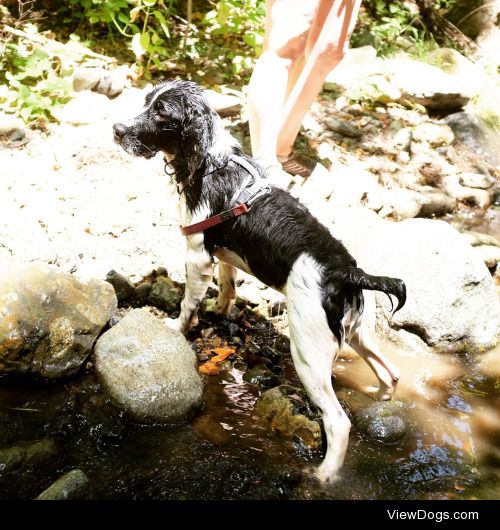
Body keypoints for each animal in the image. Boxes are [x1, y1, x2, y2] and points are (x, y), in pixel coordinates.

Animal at [113, 80, 406, 480]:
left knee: (337, 421)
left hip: (309, 352)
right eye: (146, 101)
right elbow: (228, 286)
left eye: (162, 114)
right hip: (358, 331)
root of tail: (346, 272)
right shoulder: (222, 254)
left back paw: (324, 476)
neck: (210, 162)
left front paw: (175, 327)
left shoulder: (196, 252)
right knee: (390, 374)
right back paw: (377, 403)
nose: (116, 130)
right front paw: (220, 310)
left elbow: (188, 302)